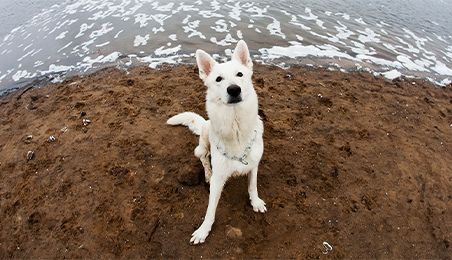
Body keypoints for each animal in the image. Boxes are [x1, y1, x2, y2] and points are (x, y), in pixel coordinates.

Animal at [166, 40, 266, 244]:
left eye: (240, 74)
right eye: (219, 79)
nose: (234, 89)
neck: (236, 128)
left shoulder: (254, 165)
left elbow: (252, 186)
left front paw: (255, 202)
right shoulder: (219, 179)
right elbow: (211, 209)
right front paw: (204, 230)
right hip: (204, 140)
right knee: (203, 157)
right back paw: (207, 173)